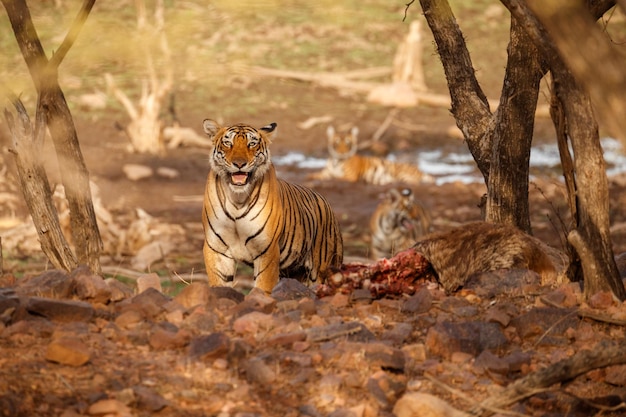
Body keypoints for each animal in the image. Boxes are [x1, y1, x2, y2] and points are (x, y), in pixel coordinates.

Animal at [201, 118, 342, 292]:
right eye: (228, 143)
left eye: (252, 144)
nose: (239, 164)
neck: (237, 199)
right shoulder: (216, 249)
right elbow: (219, 284)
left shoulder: (267, 250)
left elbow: (263, 286)